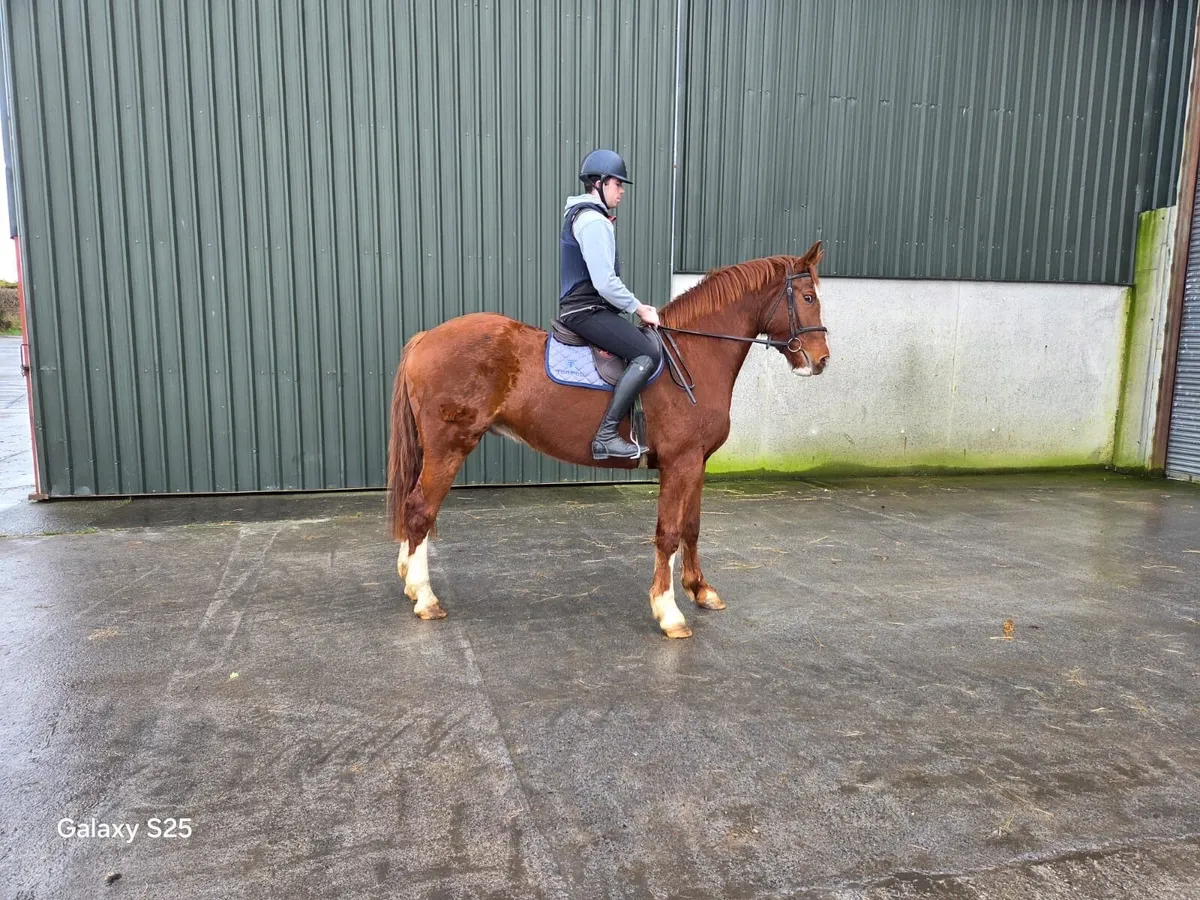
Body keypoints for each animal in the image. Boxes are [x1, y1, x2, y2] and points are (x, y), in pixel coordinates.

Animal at [387, 241, 830, 638]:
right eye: (808, 297)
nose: (821, 360)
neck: (692, 355)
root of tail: (426, 337)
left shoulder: (697, 462)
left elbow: (692, 527)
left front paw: (701, 590)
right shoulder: (680, 463)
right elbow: (668, 533)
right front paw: (669, 613)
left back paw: (410, 580)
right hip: (449, 446)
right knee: (421, 510)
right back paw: (425, 598)